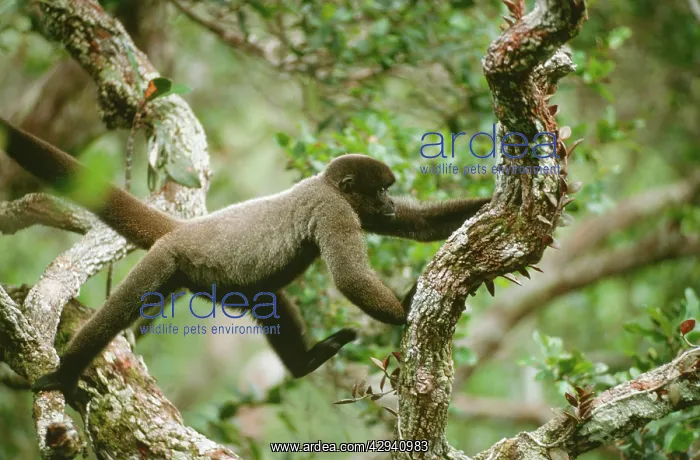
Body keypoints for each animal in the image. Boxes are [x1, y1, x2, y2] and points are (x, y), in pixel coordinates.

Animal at [0, 118, 490, 399]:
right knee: (116, 312)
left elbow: (418, 224)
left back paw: (304, 363)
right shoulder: (333, 210)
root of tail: (183, 229)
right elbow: (350, 277)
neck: (330, 187)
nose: (387, 203)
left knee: (271, 301)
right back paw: (65, 375)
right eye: (382, 189)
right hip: (165, 261)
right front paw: (405, 310)